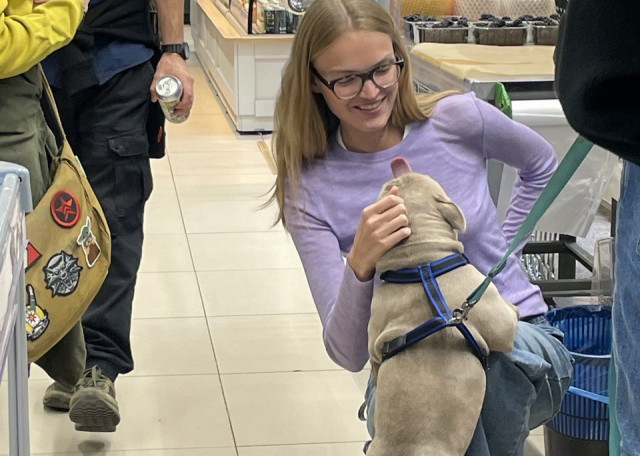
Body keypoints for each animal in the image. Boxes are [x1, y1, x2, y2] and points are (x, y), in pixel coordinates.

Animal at [365, 157, 519, 456]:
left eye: (390, 187)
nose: (399, 169)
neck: (420, 260)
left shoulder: (374, 342)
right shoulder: (499, 322)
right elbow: (509, 316)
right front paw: (515, 305)